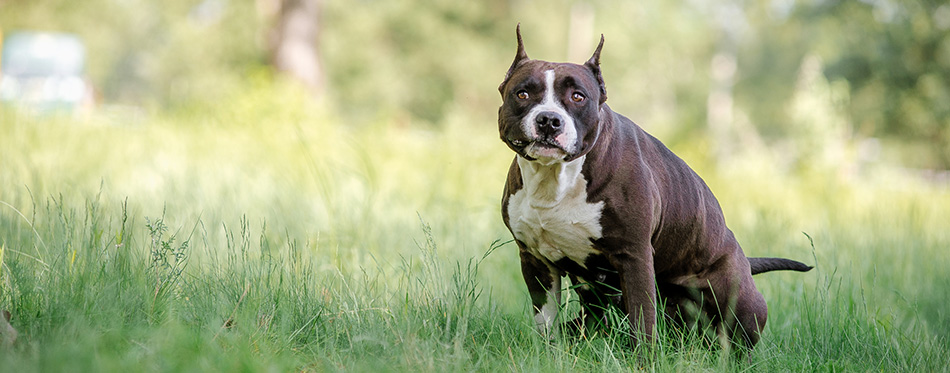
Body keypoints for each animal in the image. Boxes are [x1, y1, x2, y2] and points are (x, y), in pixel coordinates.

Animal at [498, 26, 812, 348]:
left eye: (577, 96)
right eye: (522, 93)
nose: (549, 119)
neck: (556, 177)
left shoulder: (635, 255)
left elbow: (643, 320)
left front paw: (644, 356)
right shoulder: (535, 260)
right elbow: (545, 322)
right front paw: (547, 351)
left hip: (740, 298)